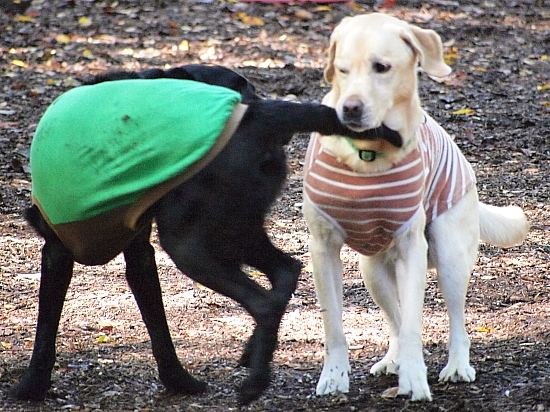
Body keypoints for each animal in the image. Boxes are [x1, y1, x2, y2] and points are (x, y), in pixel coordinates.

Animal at [10, 66, 398, 404]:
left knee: (264, 301)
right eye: (243, 86)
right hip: (235, 230)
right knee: (286, 271)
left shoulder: (56, 250)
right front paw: (178, 382)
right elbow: (158, 325)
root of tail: (261, 117)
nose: (251, 101)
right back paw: (253, 354)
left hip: (191, 244)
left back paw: (254, 384)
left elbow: (46, 328)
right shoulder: (139, 253)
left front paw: (30, 387)